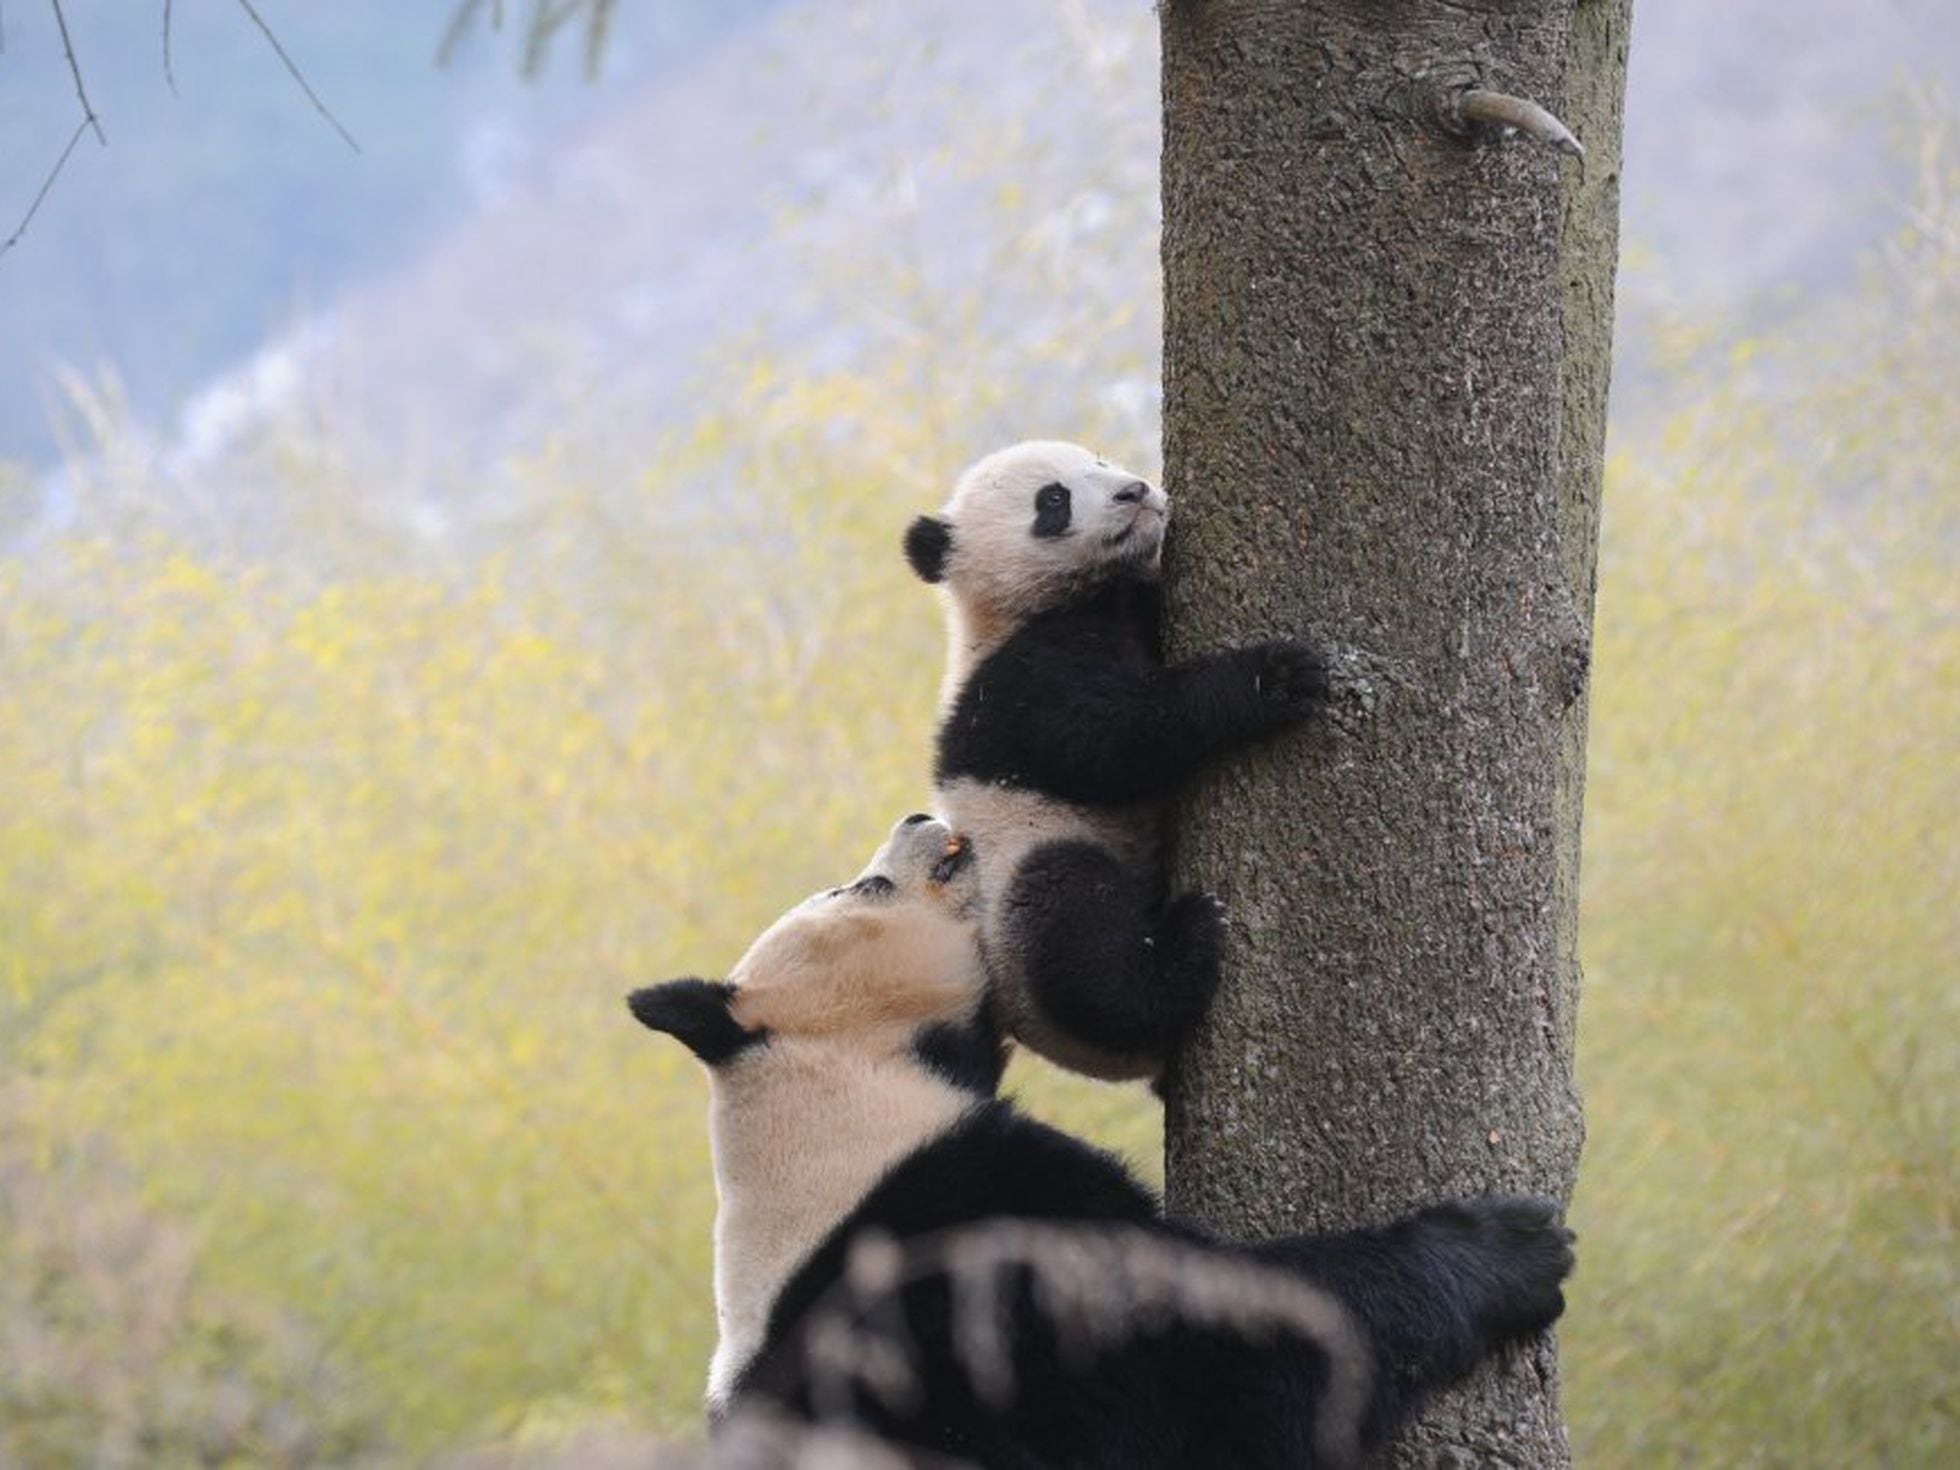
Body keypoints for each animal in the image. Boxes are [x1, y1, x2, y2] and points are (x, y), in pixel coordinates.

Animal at [627, 819, 1575, 1470]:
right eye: (861, 888)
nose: (920, 817)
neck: (830, 1083)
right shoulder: (971, 1240)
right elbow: (1222, 1357)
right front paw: (1509, 1249)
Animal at [905, 442, 1332, 1089]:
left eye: (1099, 461)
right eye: (1053, 500)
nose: (1134, 491)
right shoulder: (1022, 685)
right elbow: (1115, 741)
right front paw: (1276, 678)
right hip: (1022, 877)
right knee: (1078, 935)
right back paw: (1184, 946)